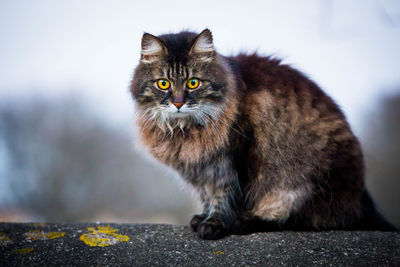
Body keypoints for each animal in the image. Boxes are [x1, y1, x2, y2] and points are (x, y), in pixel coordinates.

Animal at [130, 29, 396, 241]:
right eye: (163, 84)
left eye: (193, 83)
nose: (178, 103)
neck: (183, 129)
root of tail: (362, 199)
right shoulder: (201, 169)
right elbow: (207, 195)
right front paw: (203, 218)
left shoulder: (230, 160)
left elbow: (224, 196)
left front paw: (215, 225)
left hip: (304, 184)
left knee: (305, 220)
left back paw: (249, 222)